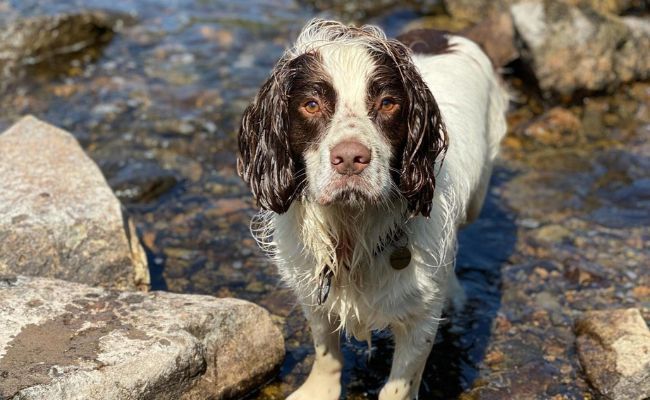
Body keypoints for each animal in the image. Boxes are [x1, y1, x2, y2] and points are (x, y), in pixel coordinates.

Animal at [237, 18, 506, 400]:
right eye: (310, 104)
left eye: (388, 102)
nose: (351, 158)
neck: (353, 227)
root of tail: (442, 31)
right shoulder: (312, 290)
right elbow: (325, 348)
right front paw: (319, 390)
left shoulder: (420, 318)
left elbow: (399, 384)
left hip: (478, 198)